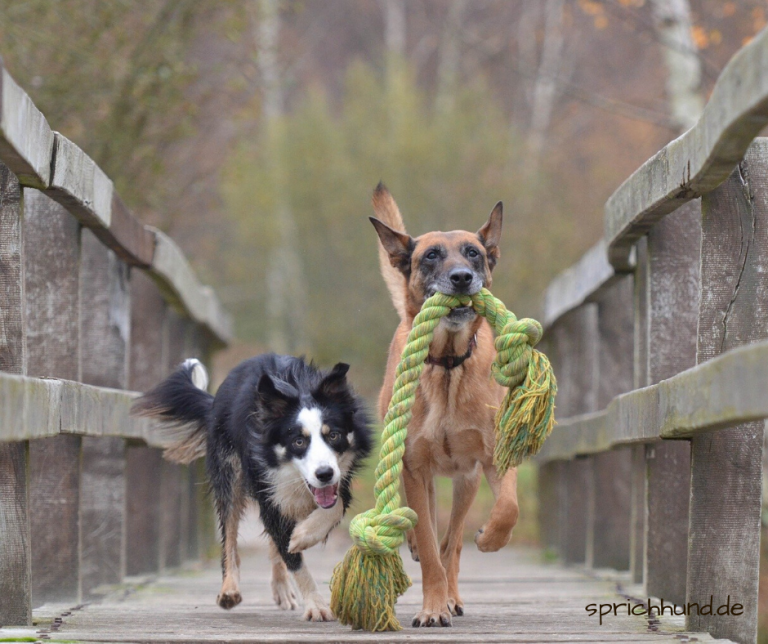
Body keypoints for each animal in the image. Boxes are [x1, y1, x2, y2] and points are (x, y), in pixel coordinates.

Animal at [134, 354, 374, 620]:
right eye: (298, 442)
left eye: (333, 436)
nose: (324, 474)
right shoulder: (267, 488)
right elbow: (293, 558)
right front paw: (316, 605)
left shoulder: (341, 477)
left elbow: (334, 506)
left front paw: (303, 535)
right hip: (229, 472)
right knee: (229, 534)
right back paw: (229, 589)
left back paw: (281, 587)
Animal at [368, 184, 520, 628]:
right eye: (432, 255)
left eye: (473, 253)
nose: (462, 278)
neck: (449, 364)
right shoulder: (414, 468)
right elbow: (429, 543)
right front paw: (432, 608)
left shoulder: (493, 458)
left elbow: (507, 507)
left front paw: (490, 539)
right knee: (431, 535)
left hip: (466, 481)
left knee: (452, 542)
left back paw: (455, 591)